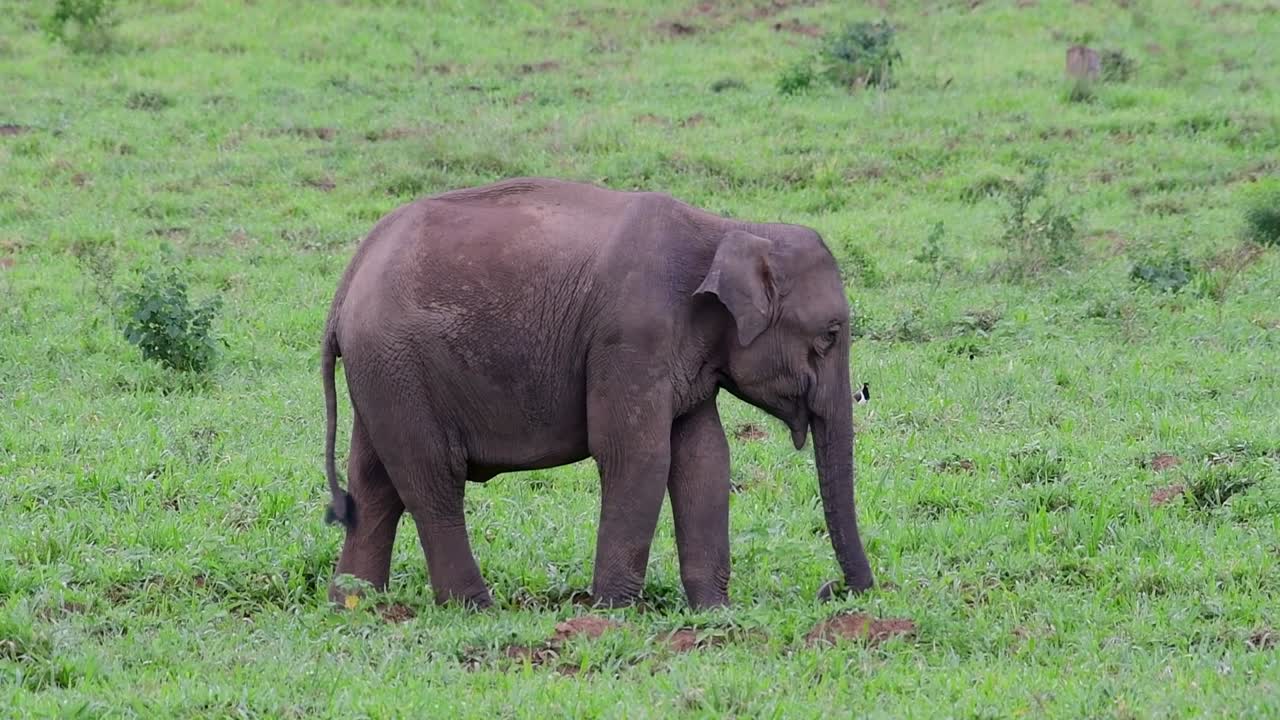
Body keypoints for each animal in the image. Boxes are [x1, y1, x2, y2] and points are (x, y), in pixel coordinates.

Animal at [320, 177, 874, 610]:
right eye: (829, 335)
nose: (833, 590)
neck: (729, 228)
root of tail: (347, 280)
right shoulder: (632, 338)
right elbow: (639, 455)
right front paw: (613, 612)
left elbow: (705, 459)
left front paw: (715, 613)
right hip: (398, 364)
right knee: (432, 480)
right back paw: (474, 607)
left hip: (384, 373)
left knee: (373, 483)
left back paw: (356, 603)